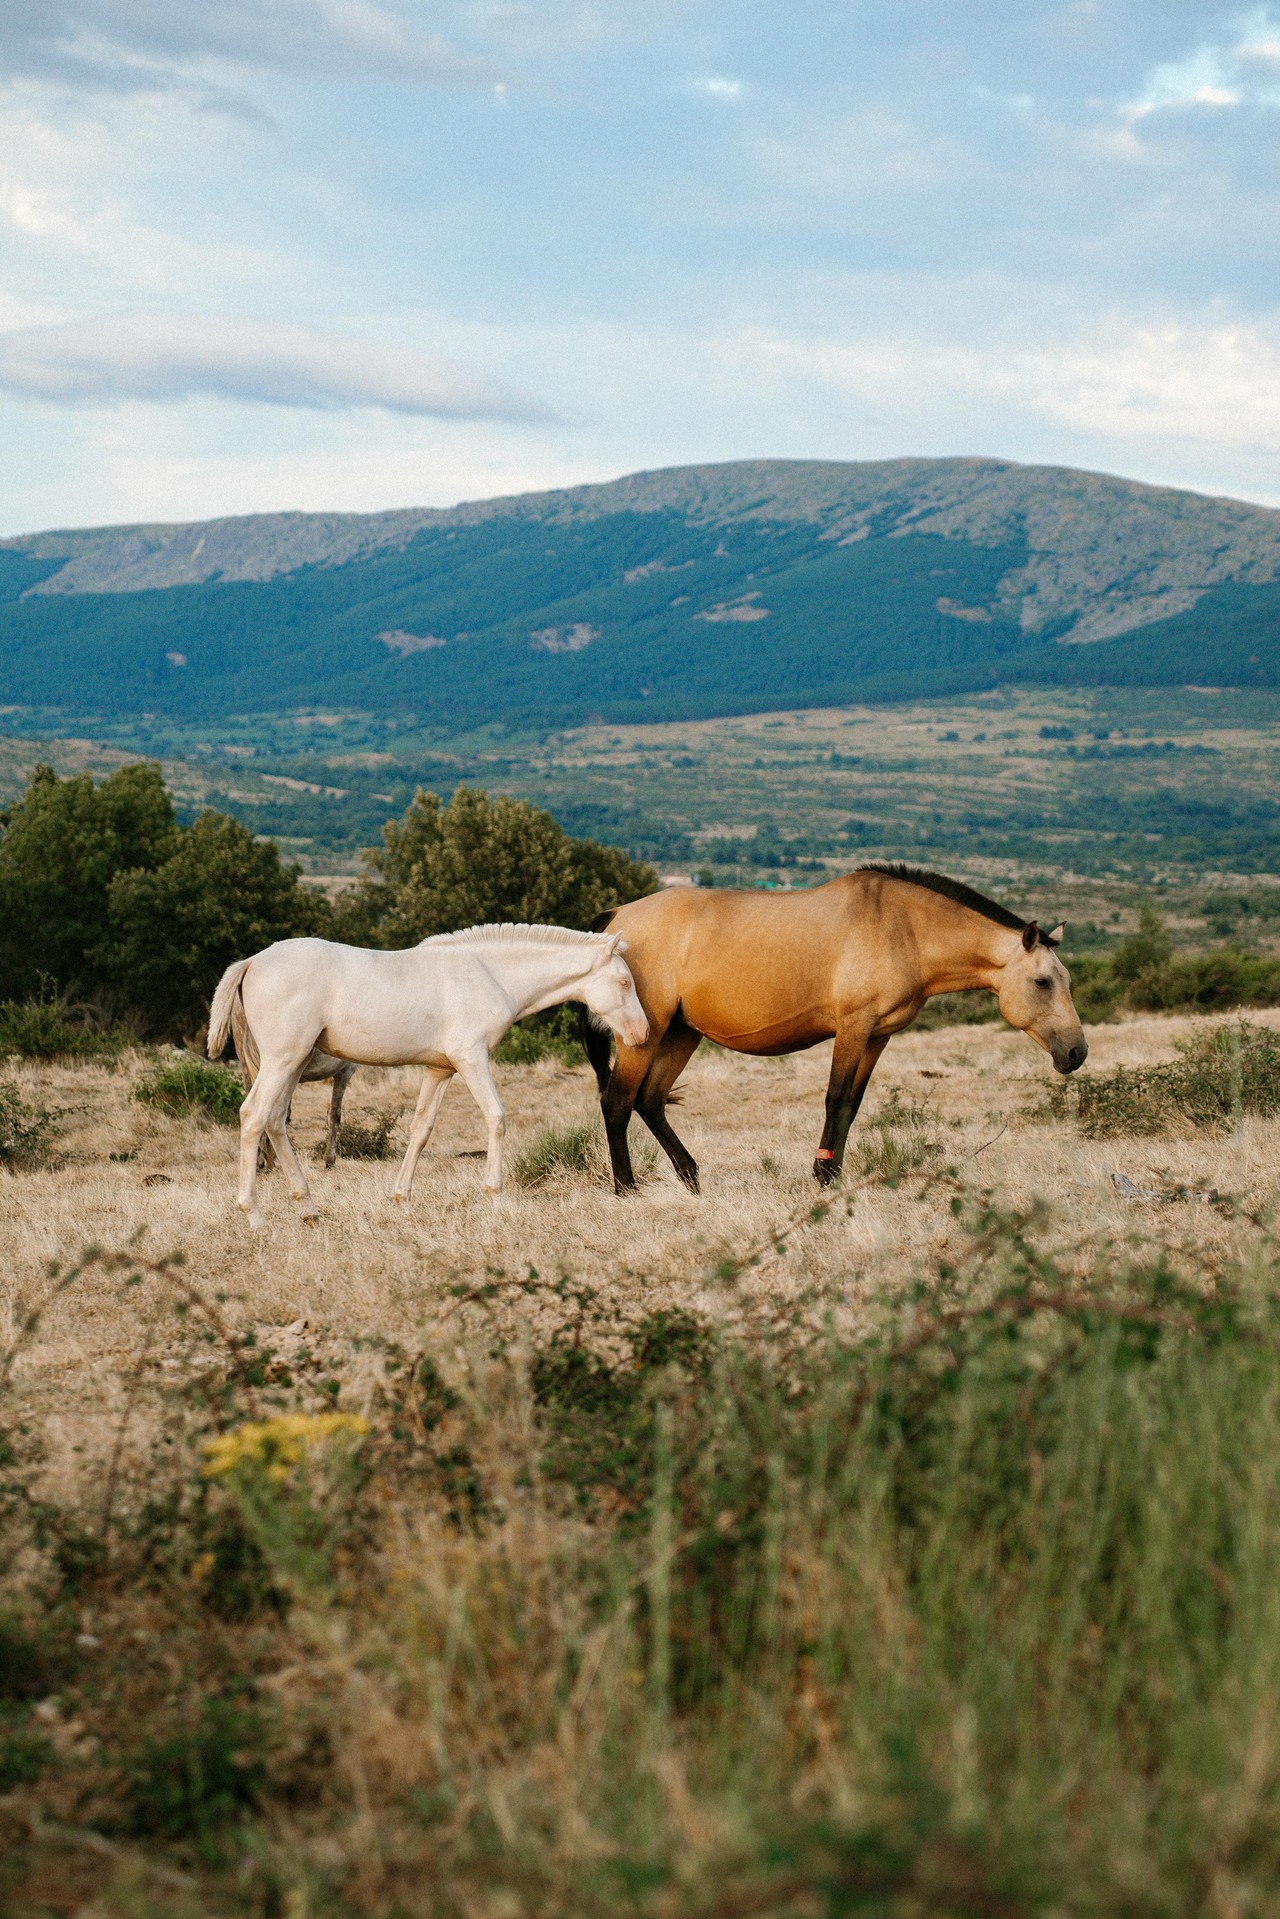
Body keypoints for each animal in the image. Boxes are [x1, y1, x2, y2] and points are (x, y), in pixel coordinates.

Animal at [207, 924, 647, 1228]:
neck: (489, 975)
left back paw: (310, 1209)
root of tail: (252, 962)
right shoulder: (472, 1059)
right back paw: (255, 1216)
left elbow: (421, 1129)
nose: (642, 1034)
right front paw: (496, 1198)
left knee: (275, 1120)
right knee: (254, 1116)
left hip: (292, 1063)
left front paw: (401, 1197)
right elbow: (496, 1118)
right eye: (624, 981)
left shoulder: (441, 1070)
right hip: (282, 1060)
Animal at [584, 863, 1087, 1196]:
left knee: (650, 1101)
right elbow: (835, 1099)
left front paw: (834, 1175)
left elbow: (851, 1105)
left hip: (681, 1033)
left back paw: (691, 1179)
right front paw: (822, 1177)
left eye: (1065, 980)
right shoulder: (853, 1028)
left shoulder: (878, 1035)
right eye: (1043, 982)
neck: (903, 929)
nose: (1076, 1052)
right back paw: (627, 1189)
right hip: (645, 1034)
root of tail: (616, 918)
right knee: (618, 1102)